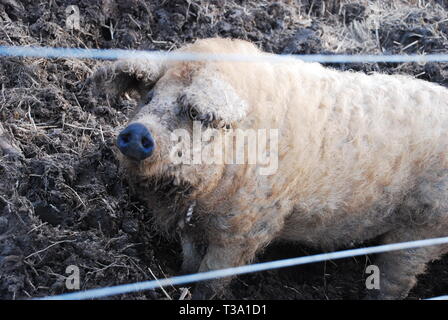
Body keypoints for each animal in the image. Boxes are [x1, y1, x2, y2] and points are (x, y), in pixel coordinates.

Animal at [92, 38, 448, 300]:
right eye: (148, 97)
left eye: (193, 112)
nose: (137, 132)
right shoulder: (191, 221)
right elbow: (190, 258)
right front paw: (181, 277)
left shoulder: (247, 227)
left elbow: (212, 275)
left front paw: (200, 294)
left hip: (423, 229)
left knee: (397, 277)